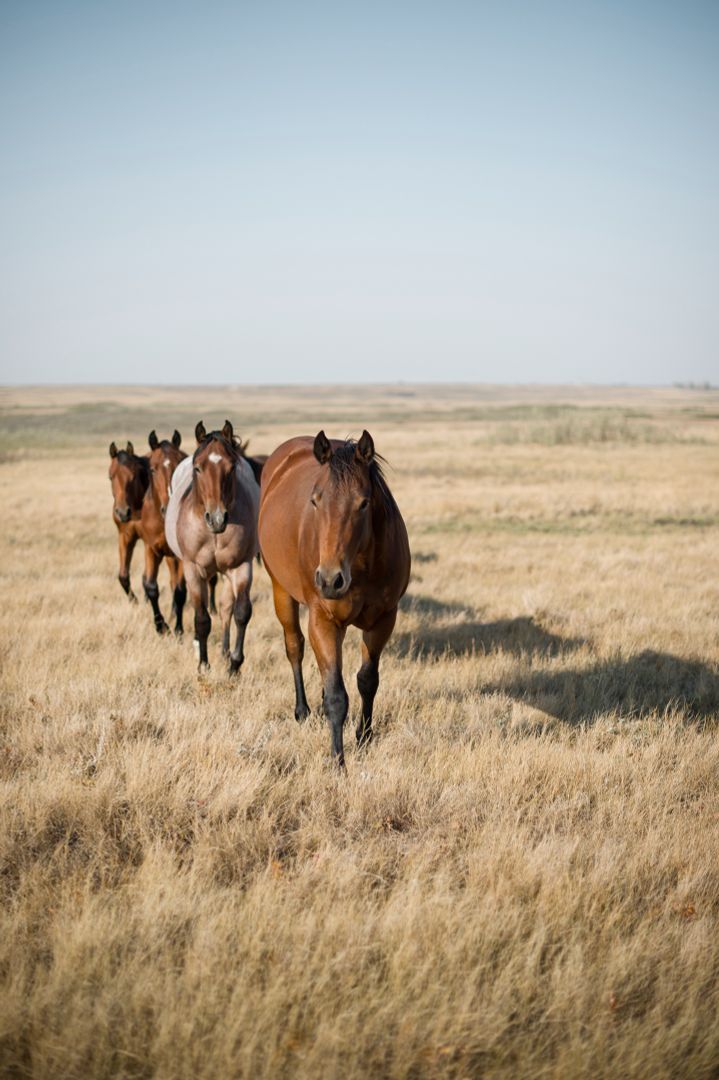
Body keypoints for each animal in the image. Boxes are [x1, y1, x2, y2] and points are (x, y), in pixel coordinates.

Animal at [108, 441, 149, 602]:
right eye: (110, 476)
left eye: (133, 476)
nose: (122, 512)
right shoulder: (126, 536)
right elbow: (123, 577)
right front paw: (135, 602)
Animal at [165, 420, 261, 673]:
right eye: (198, 468)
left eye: (232, 467)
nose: (217, 519)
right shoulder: (193, 569)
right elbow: (201, 619)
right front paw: (203, 664)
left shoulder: (241, 566)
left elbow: (241, 612)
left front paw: (234, 664)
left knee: (226, 608)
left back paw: (225, 652)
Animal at [258, 430, 411, 766]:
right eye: (315, 500)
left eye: (363, 503)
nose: (330, 580)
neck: (361, 566)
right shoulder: (323, 620)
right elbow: (338, 696)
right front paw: (338, 762)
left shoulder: (383, 619)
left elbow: (367, 680)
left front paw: (364, 736)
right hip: (281, 592)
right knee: (294, 647)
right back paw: (302, 711)